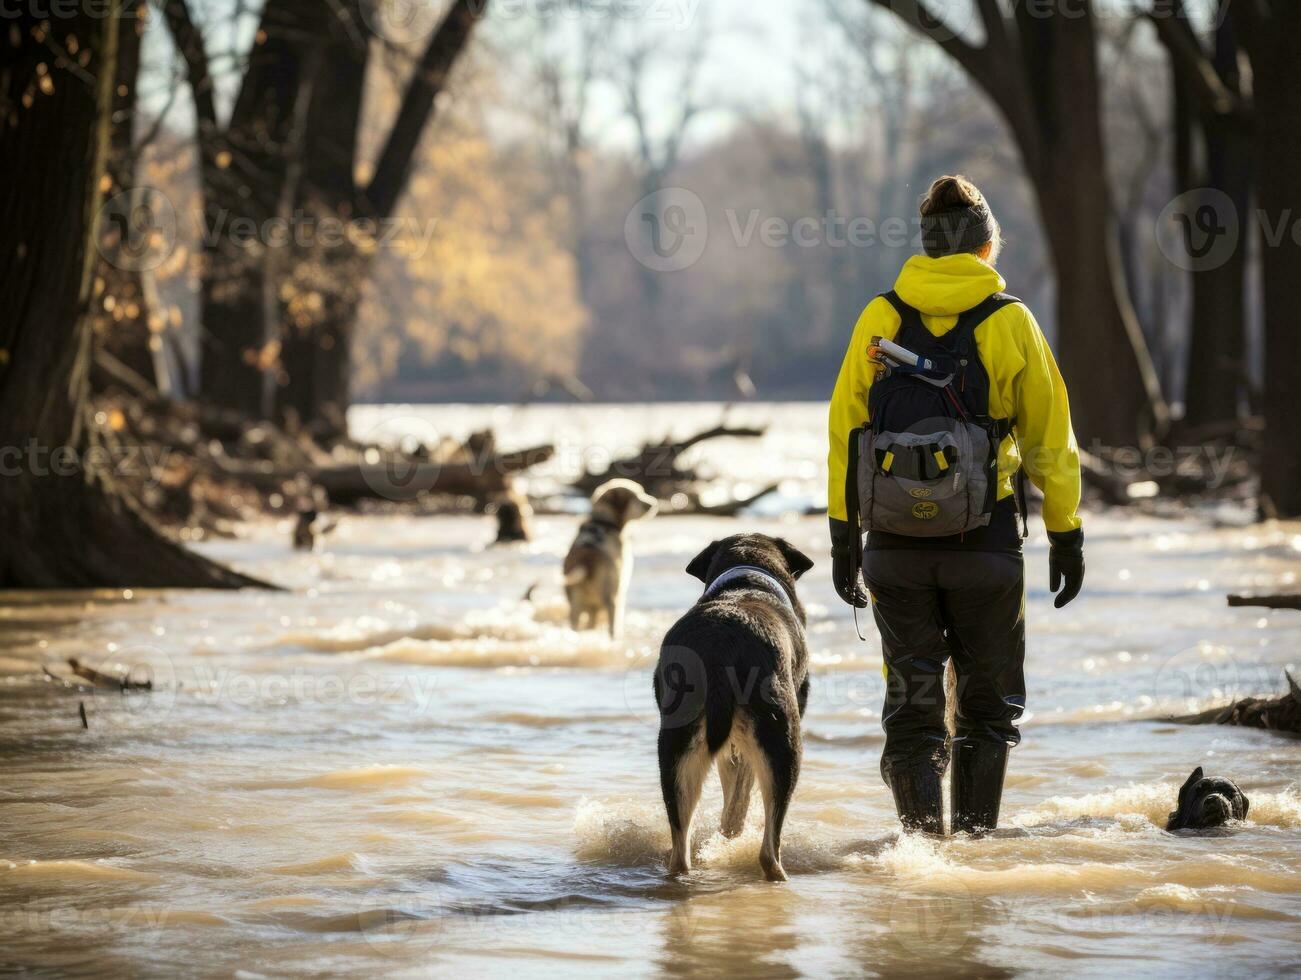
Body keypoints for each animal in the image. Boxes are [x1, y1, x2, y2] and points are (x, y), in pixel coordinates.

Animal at [655, 530, 806, 884]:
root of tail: (721, 645)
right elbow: (742, 794)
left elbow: (733, 793)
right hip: (783, 740)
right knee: (770, 845)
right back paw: (778, 874)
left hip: (675, 746)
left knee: (680, 843)